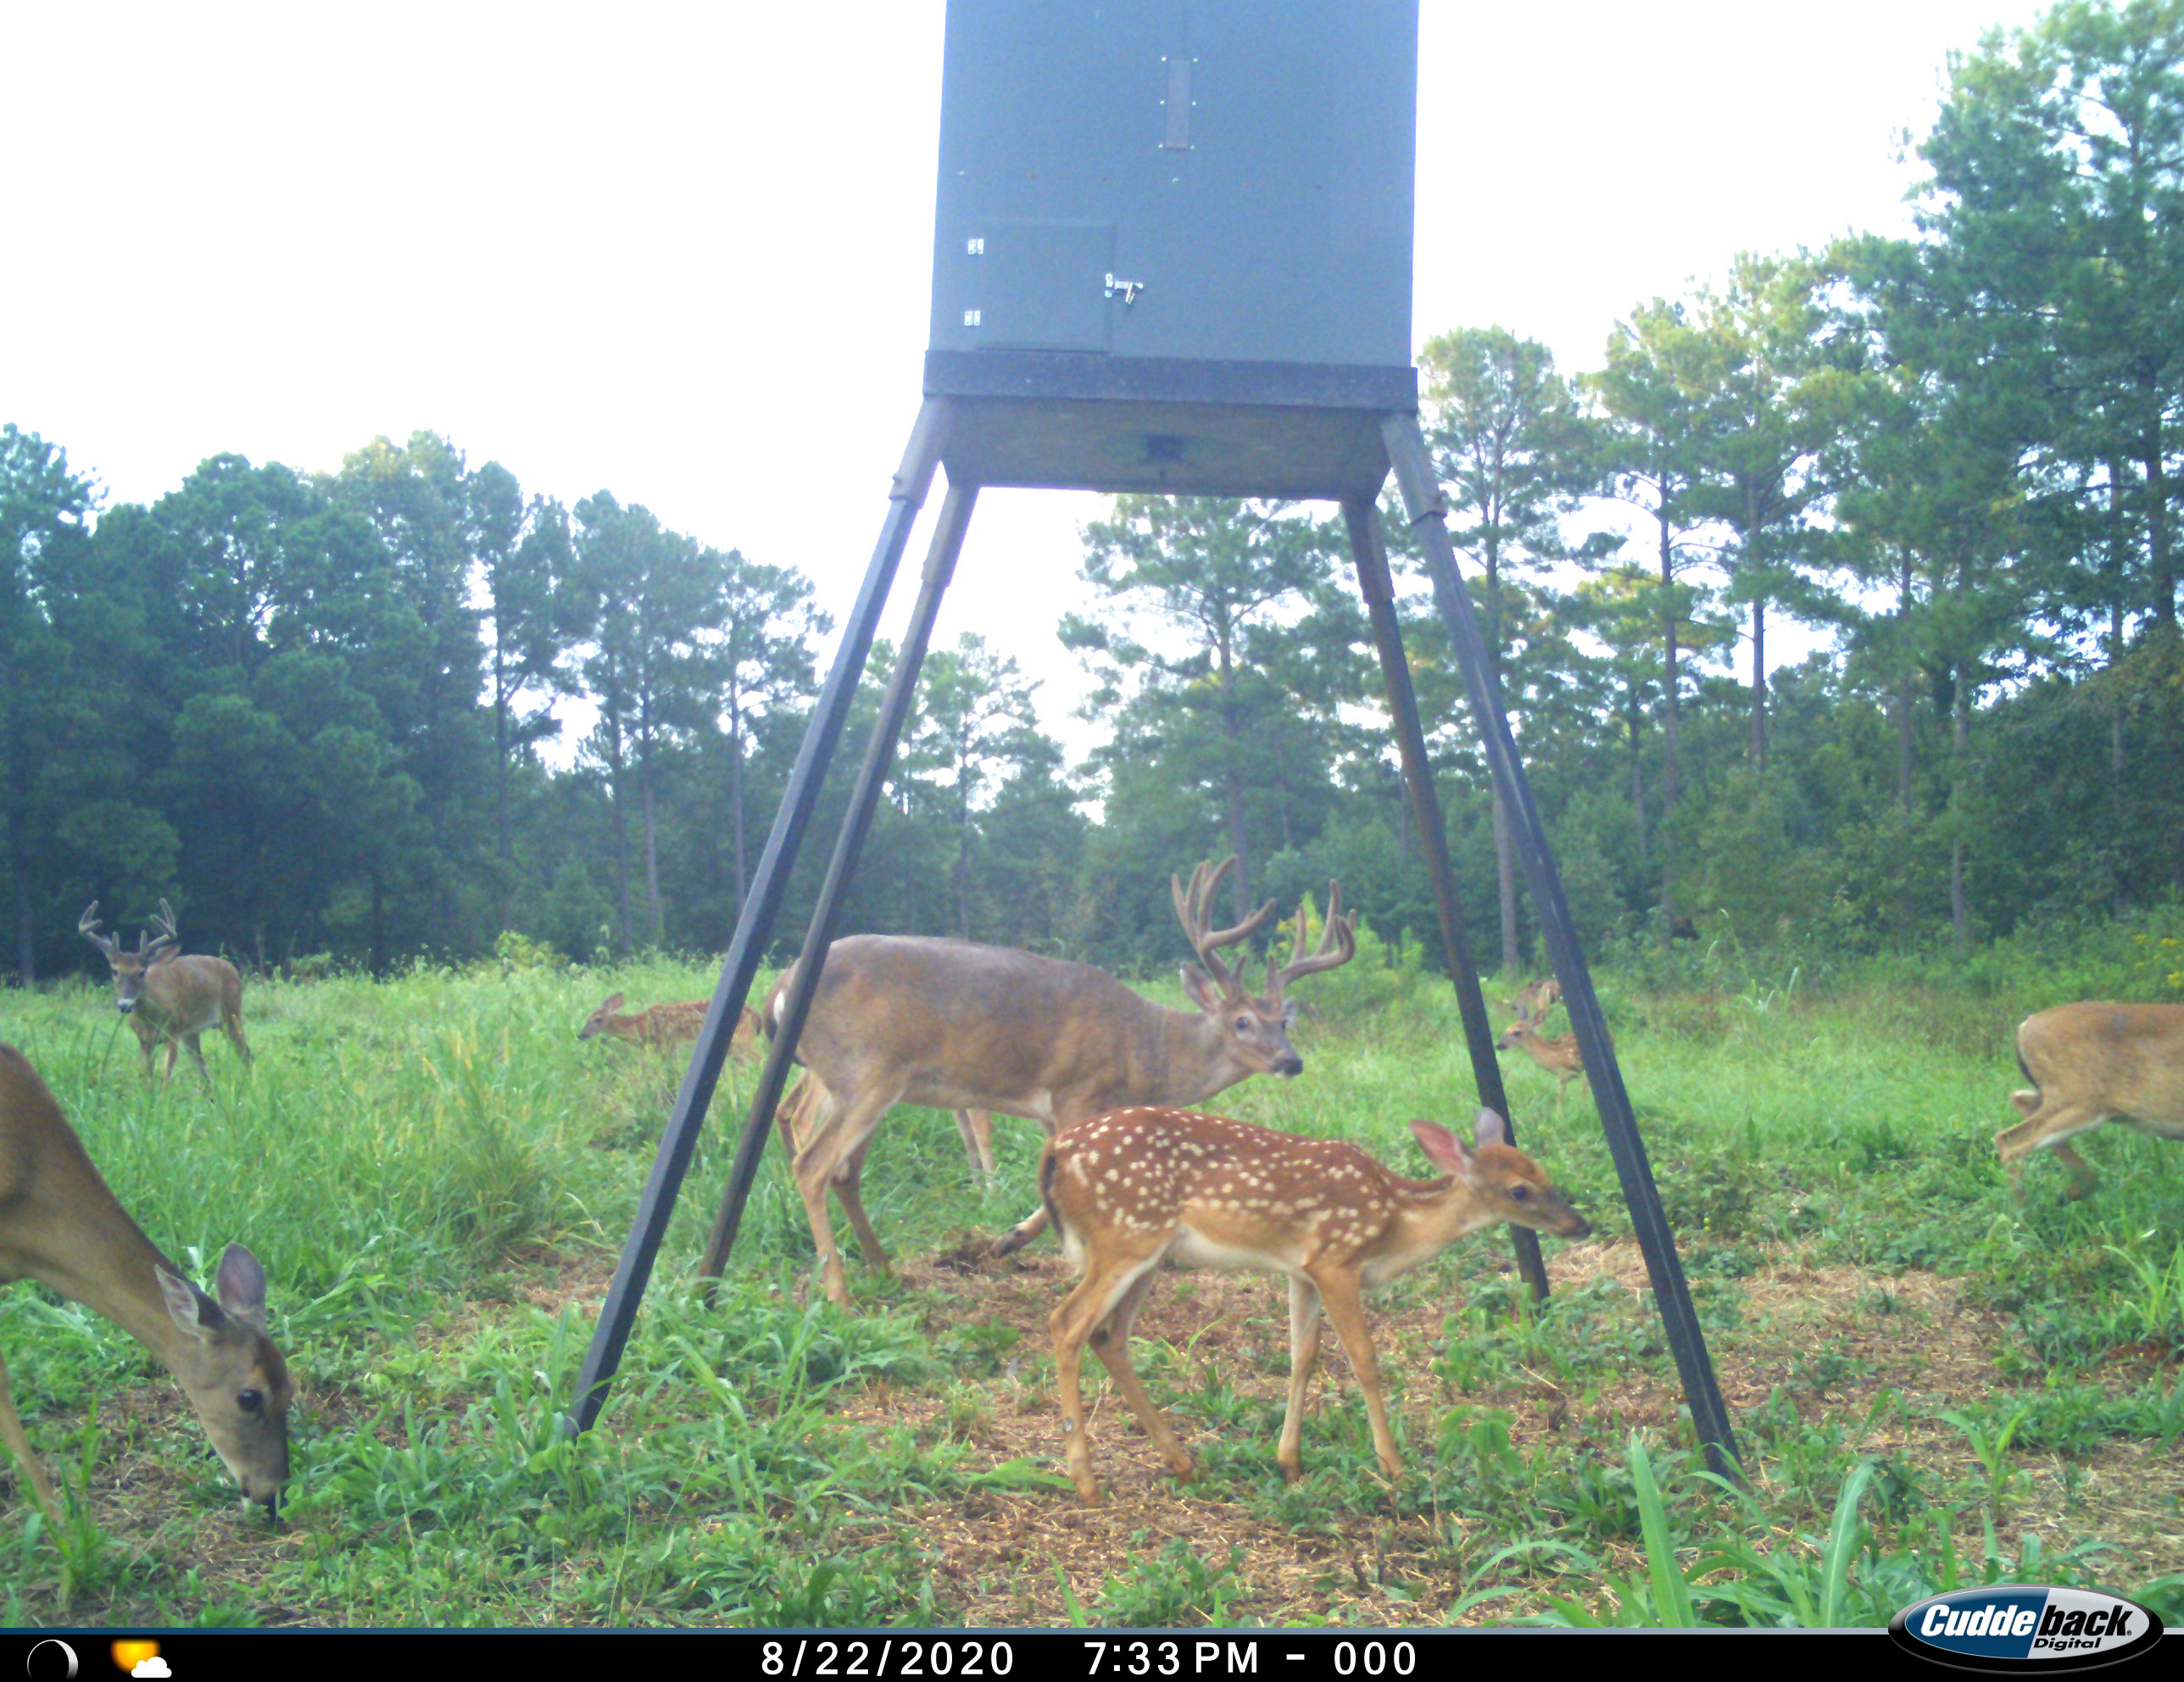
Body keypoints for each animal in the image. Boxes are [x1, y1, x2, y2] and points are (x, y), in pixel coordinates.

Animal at [79, 901, 251, 1081]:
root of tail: (231, 967)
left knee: (246, 1053)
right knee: (203, 1068)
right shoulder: (144, 1041)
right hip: (191, 1033)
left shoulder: (172, 1032)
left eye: (142, 972)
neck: (149, 1018)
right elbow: (146, 1076)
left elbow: (165, 1075)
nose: (125, 1005)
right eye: (114, 971)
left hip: (232, 1014)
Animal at [768, 856, 1357, 1307]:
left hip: (860, 1081)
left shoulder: (1057, 1110)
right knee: (814, 1164)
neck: (1147, 1050)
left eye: (1285, 1022)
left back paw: (883, 1268)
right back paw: (839, 1293)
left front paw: (1002, 1242)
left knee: (843, 1171)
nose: (1292, 1061)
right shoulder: (1079, 1088)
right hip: (864, 1072)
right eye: (1242, 1022)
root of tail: (785, 983)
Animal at [1041, 1104, 1590, 1505]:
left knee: (1108, 1335)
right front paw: (1393, 1466)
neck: (1396, 1222)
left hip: (1148, 1251)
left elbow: (1302, 1357)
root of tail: (1055, 1149)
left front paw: (1289, 1462)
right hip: (1125, 1235)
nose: (1579, 1224)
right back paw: (1086, 1483)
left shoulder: (1301, 1270)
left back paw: (1182, 1462)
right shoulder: (1336, 1261)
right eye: (1518, 1190)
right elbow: (1364, 1360)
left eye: (1542, 1171)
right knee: (1066, 1323)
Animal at [1995, 1002, 2184, 1201]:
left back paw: (2076, 1189)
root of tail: (2023, 1027)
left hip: (2061, 1096)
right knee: (2010, 1141)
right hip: (2080, 1099)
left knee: (2020, 1100)